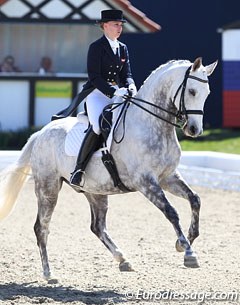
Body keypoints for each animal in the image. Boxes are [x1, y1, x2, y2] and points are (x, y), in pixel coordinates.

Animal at [0, 57, 218, 280]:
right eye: (192, 91)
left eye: (207, 93)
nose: (194, 130)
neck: (152, 124)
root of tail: (41, 133)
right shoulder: (145, 182)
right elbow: (171, 212)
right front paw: (188, 251)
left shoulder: (168, 177)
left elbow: (195, 199)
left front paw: (185, 241)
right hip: (48, 187)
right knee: (41, 227)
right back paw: (48, 273)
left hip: (95, 190)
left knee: (97, 227)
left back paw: (123, 260)